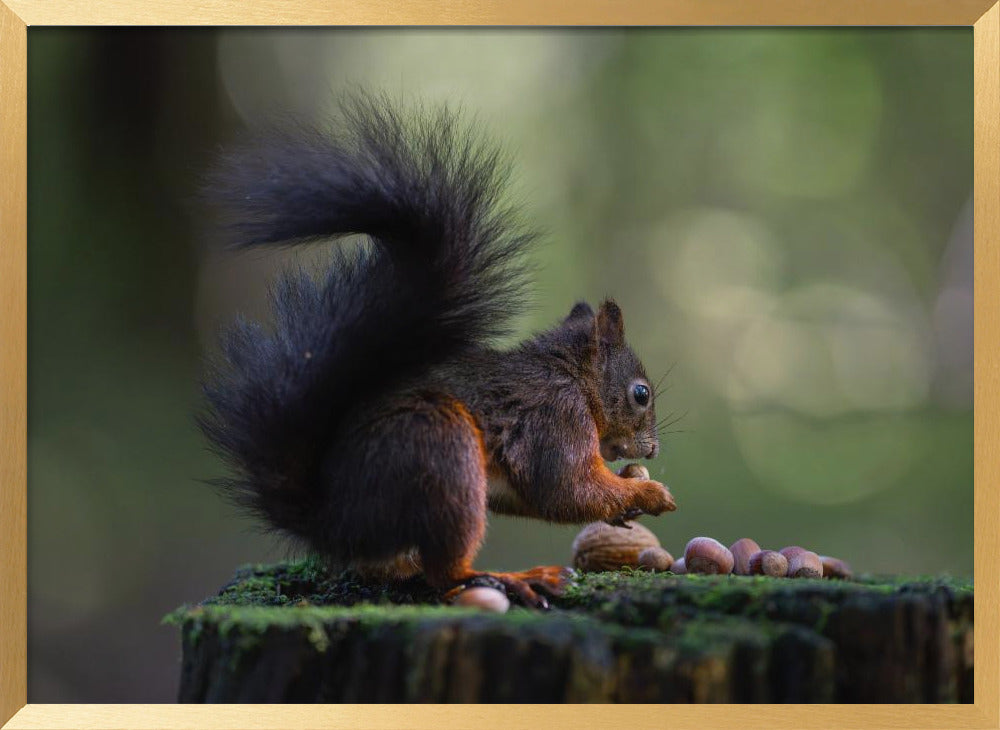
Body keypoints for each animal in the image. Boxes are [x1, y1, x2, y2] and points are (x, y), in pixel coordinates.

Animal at [199, 96, 676, 608]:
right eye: (641, 393)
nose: (653, 448)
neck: (573, 378)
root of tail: (334, 522)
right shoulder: (555, 416)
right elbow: (565, 488)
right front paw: (648, 495)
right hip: (439, 451)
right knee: (446, 571)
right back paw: (511, 578)